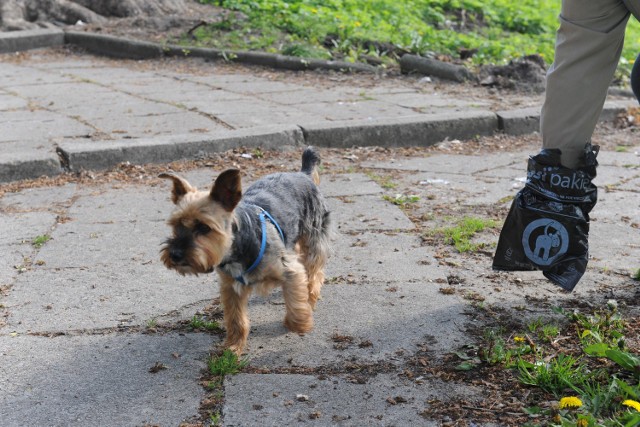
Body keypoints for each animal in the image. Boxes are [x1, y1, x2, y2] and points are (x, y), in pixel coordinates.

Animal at [160, 147, 332, 354]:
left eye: (204, 227)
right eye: (176, 225)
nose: (175, 254)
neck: (236, 248)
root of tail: (303, 173)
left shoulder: (290, 270)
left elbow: (296, 301)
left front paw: (300, 323)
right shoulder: (230, 287)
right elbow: (236, 320)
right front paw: (233, 346)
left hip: (314, 237)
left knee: (314, 271)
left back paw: (311, 297)